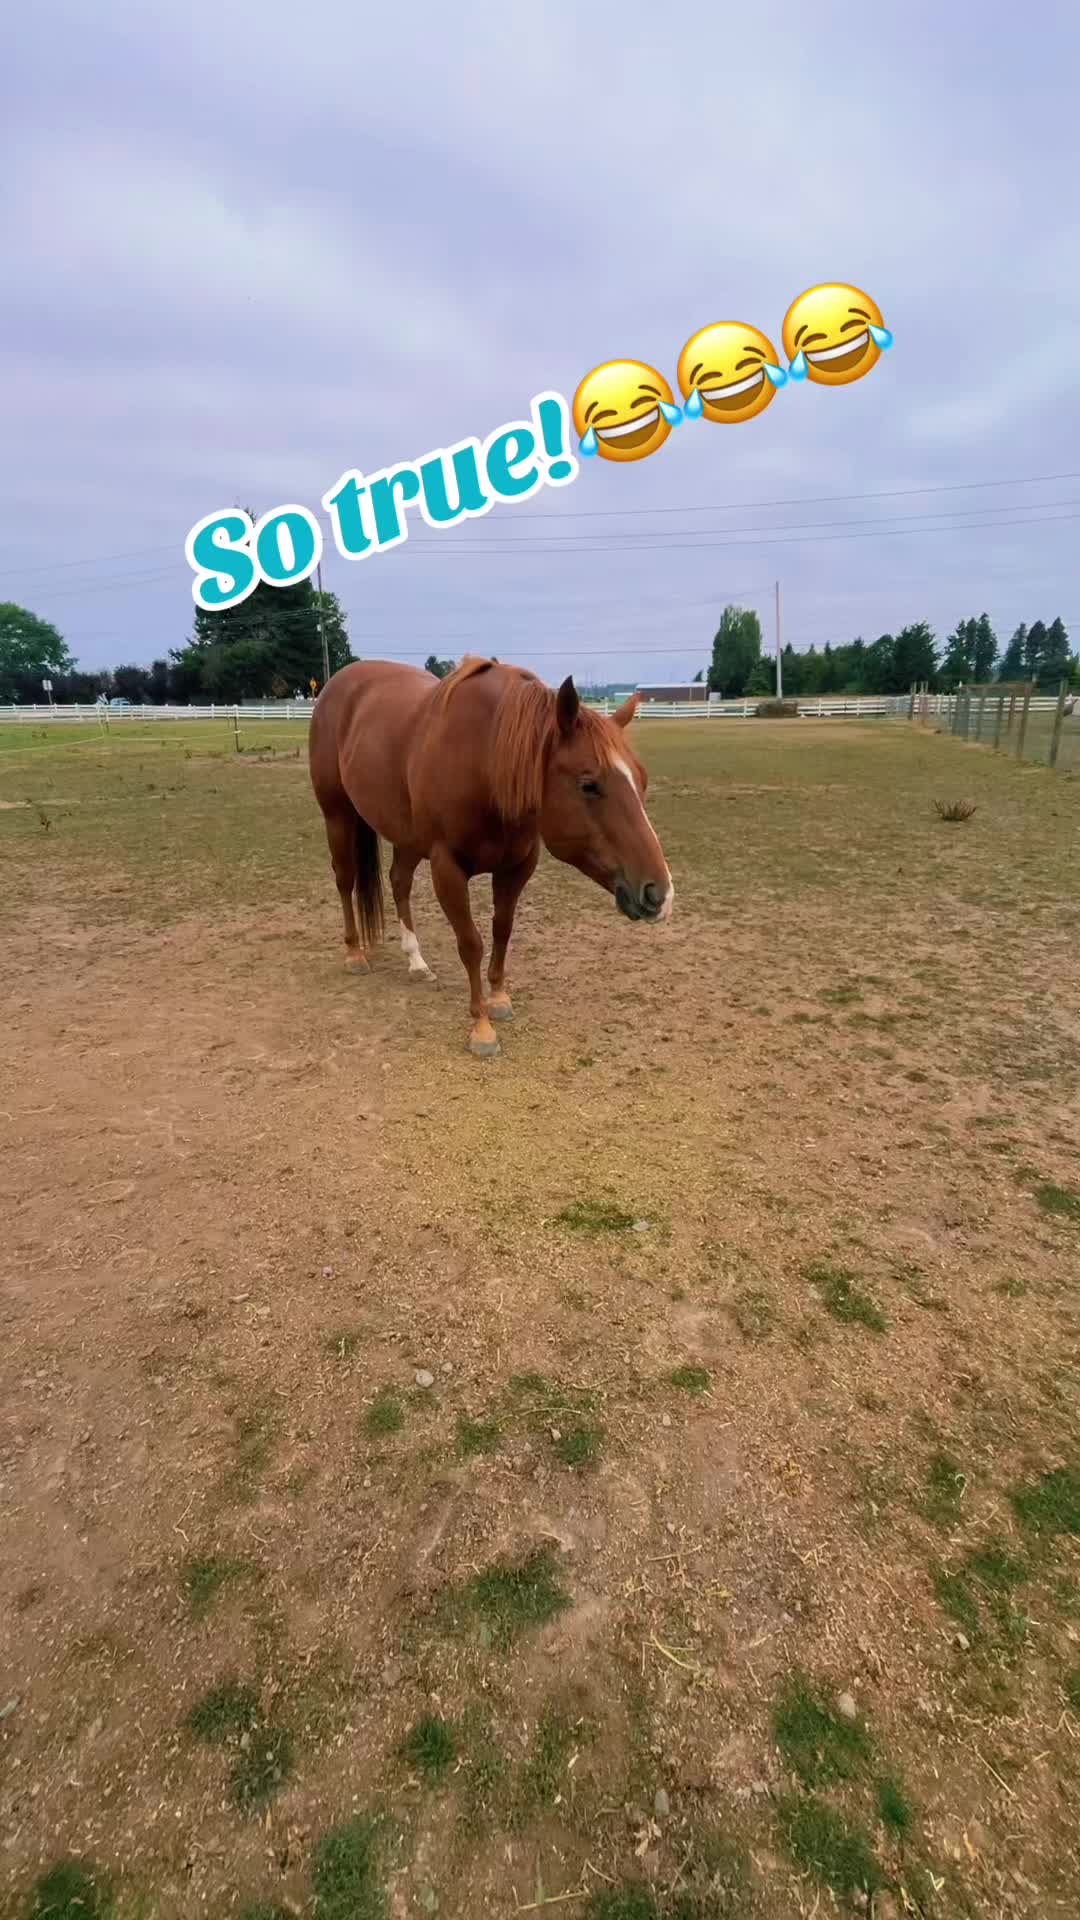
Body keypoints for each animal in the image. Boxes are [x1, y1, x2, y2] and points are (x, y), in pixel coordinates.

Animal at [308, 656, 673, 1058]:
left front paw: (498, 997)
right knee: (345, 879)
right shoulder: (447, 868)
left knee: (399, 882)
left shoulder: (516, 866)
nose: (660, 893)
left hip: (407, 837)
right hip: (338, 815)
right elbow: (471, 944)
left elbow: (502, 929)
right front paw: (481, 1027)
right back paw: (355, 954)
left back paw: (416, 961)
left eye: (642, 780)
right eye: (588, 784)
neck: (483, 759)